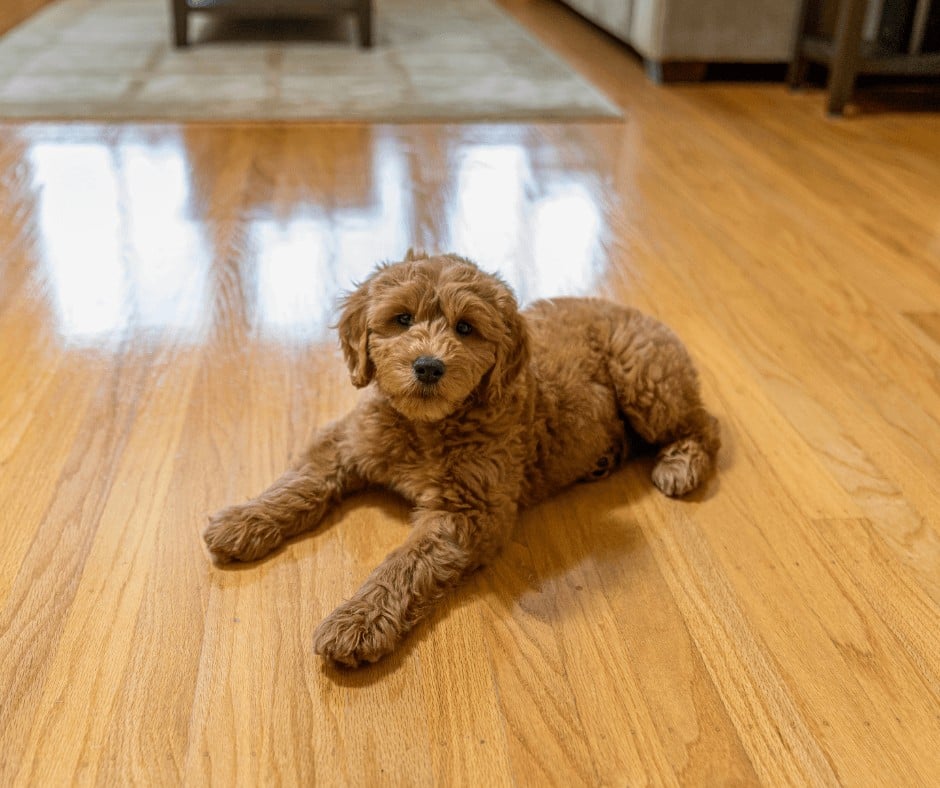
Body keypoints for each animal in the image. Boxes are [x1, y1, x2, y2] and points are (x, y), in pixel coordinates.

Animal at [206, 251, 720, 664]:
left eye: (466, 328)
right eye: (402, 319)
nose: (428, 366)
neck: (426, 426)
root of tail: (633, 310)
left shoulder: (468, 511)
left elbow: (405, 564)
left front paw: (359, 620)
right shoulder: (347, 442)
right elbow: (300, 481)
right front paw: (245, 520)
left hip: (646, 380)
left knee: (704, 423)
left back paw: (680, 464)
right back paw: (606, 456)